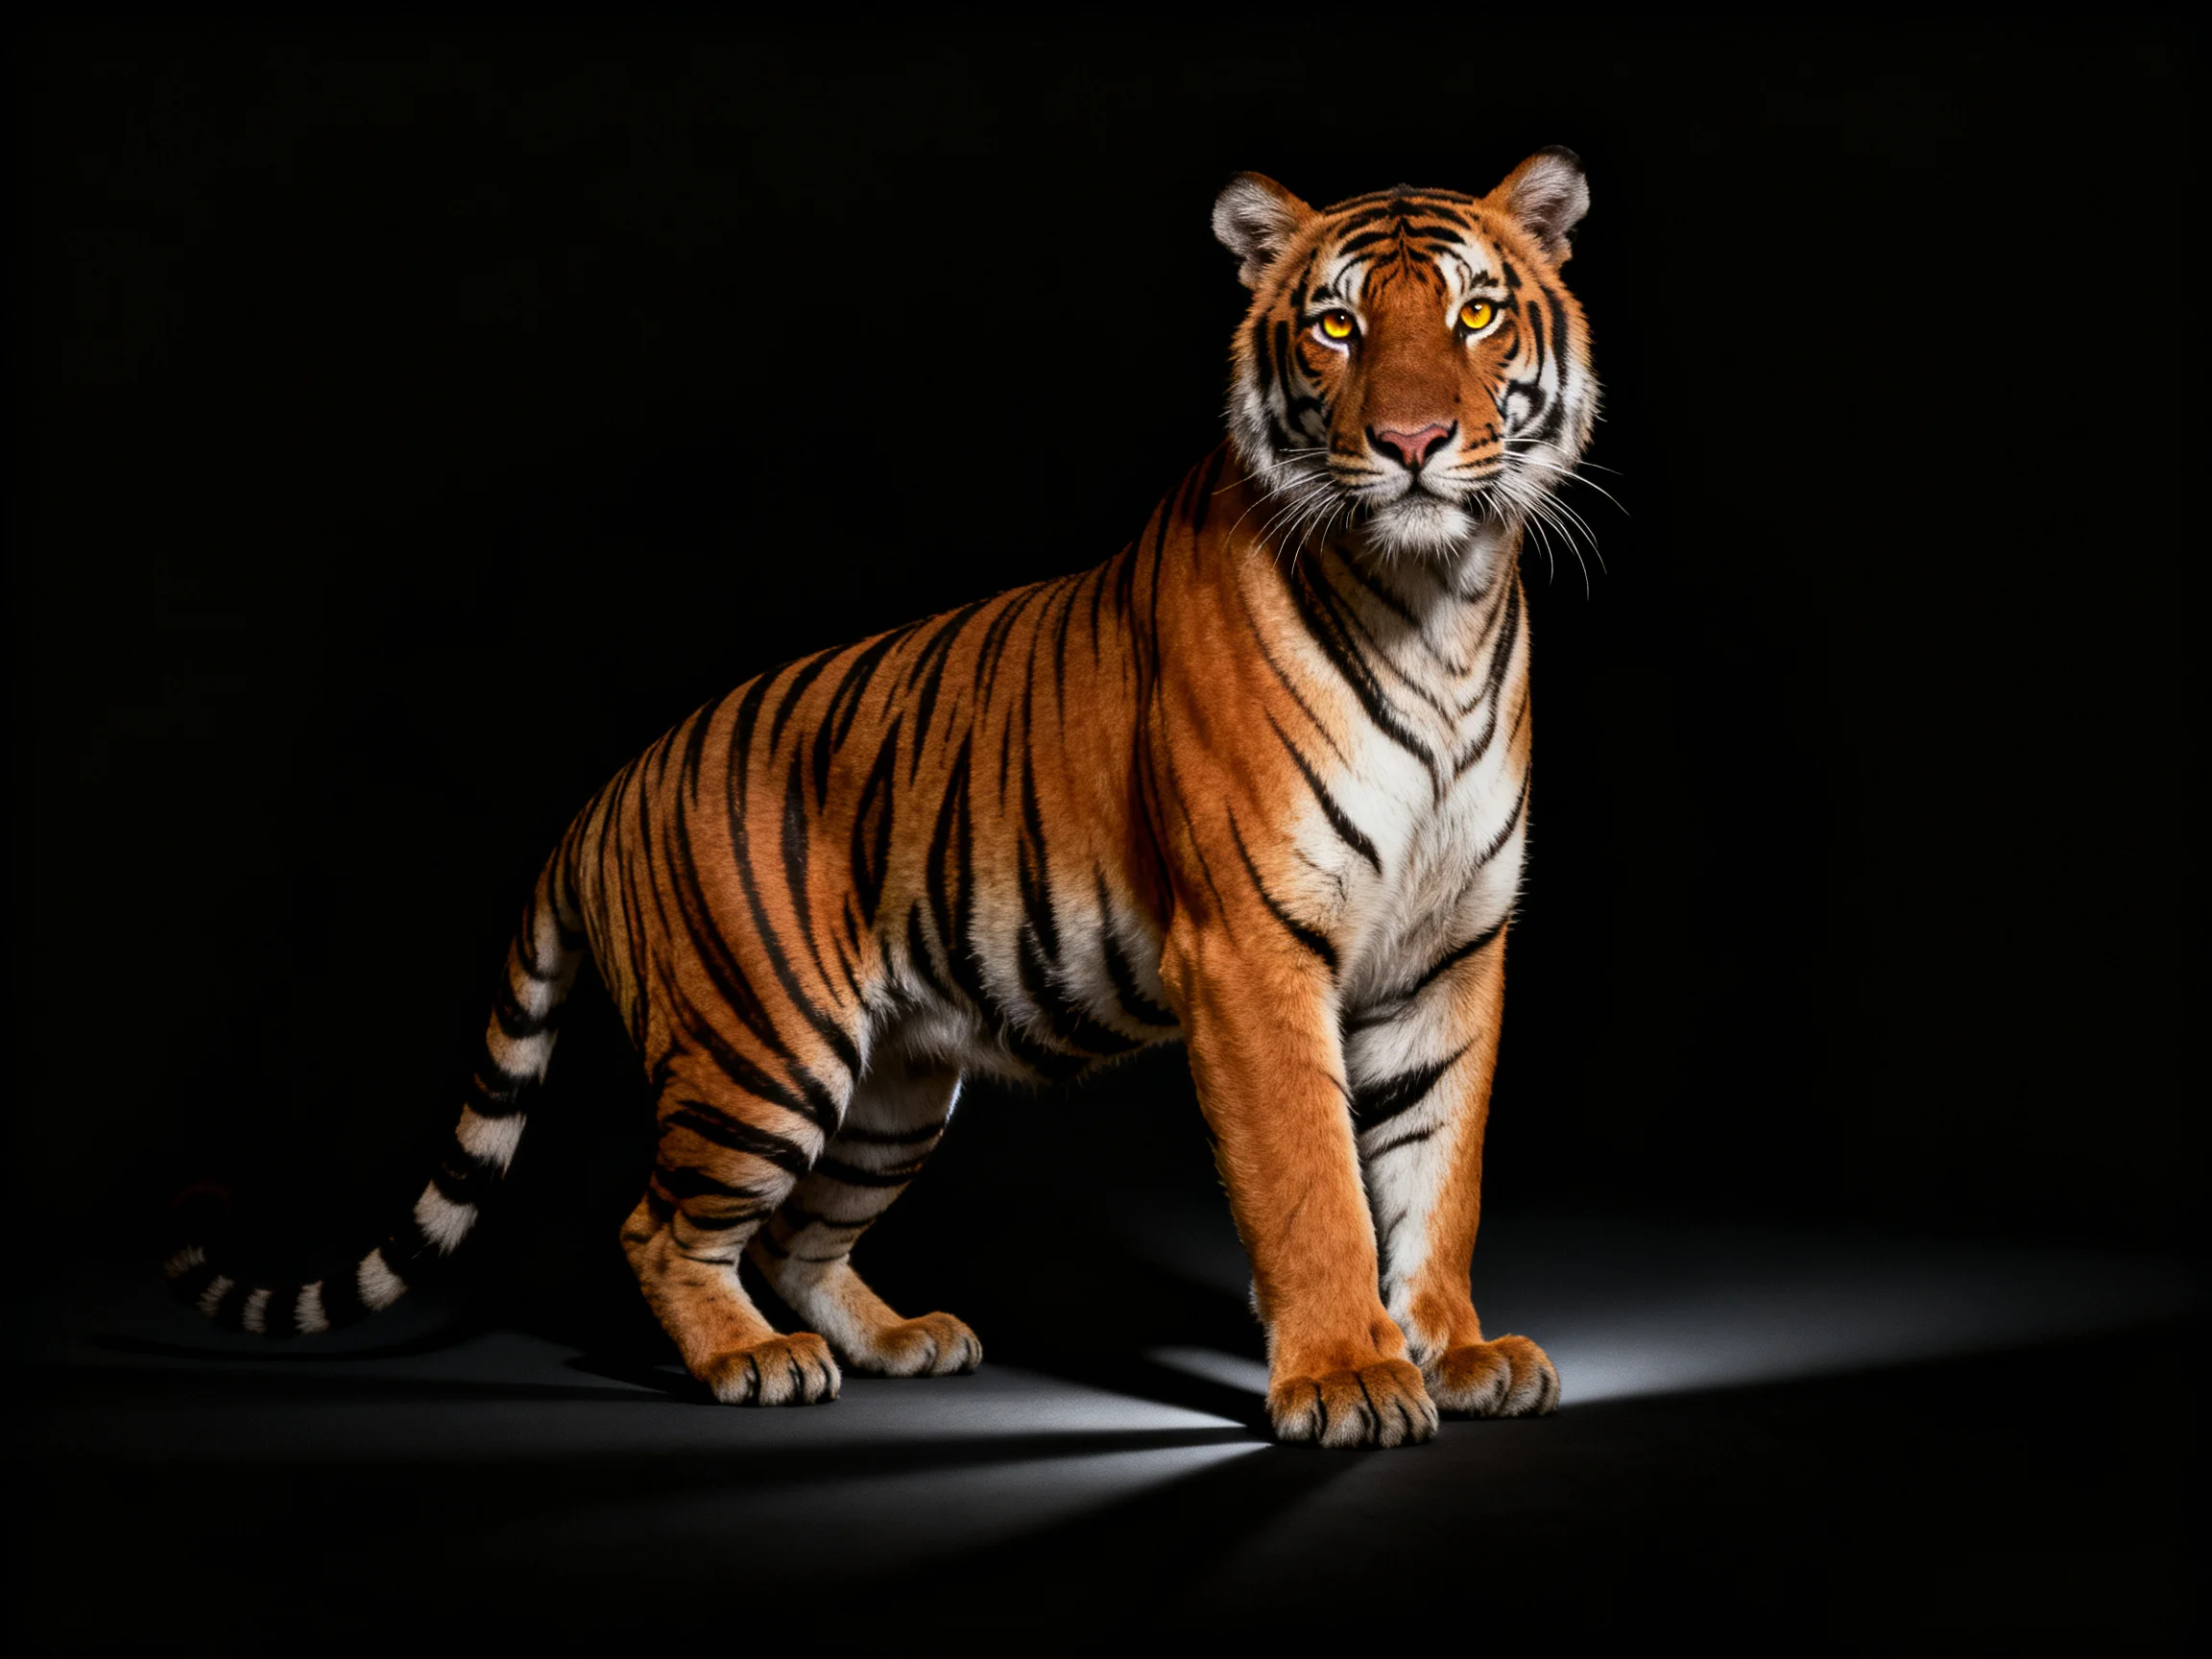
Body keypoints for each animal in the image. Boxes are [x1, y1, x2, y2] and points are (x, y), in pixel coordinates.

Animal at [167, 148, 1598, 1448]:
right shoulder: (1251, 951)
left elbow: (1436, 1169)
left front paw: (1454, 1352)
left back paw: (899, 1338)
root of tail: (605, 792)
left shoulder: (1454, 950)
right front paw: (1352, 1376)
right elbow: (1316, 1184)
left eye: (1475, 314)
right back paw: (751, 1361)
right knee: (661, 1225)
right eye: (1336, 326)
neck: (1435, 608)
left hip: (895, 1092)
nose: (1410, 445)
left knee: (794, 1238)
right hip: (759, 1058)